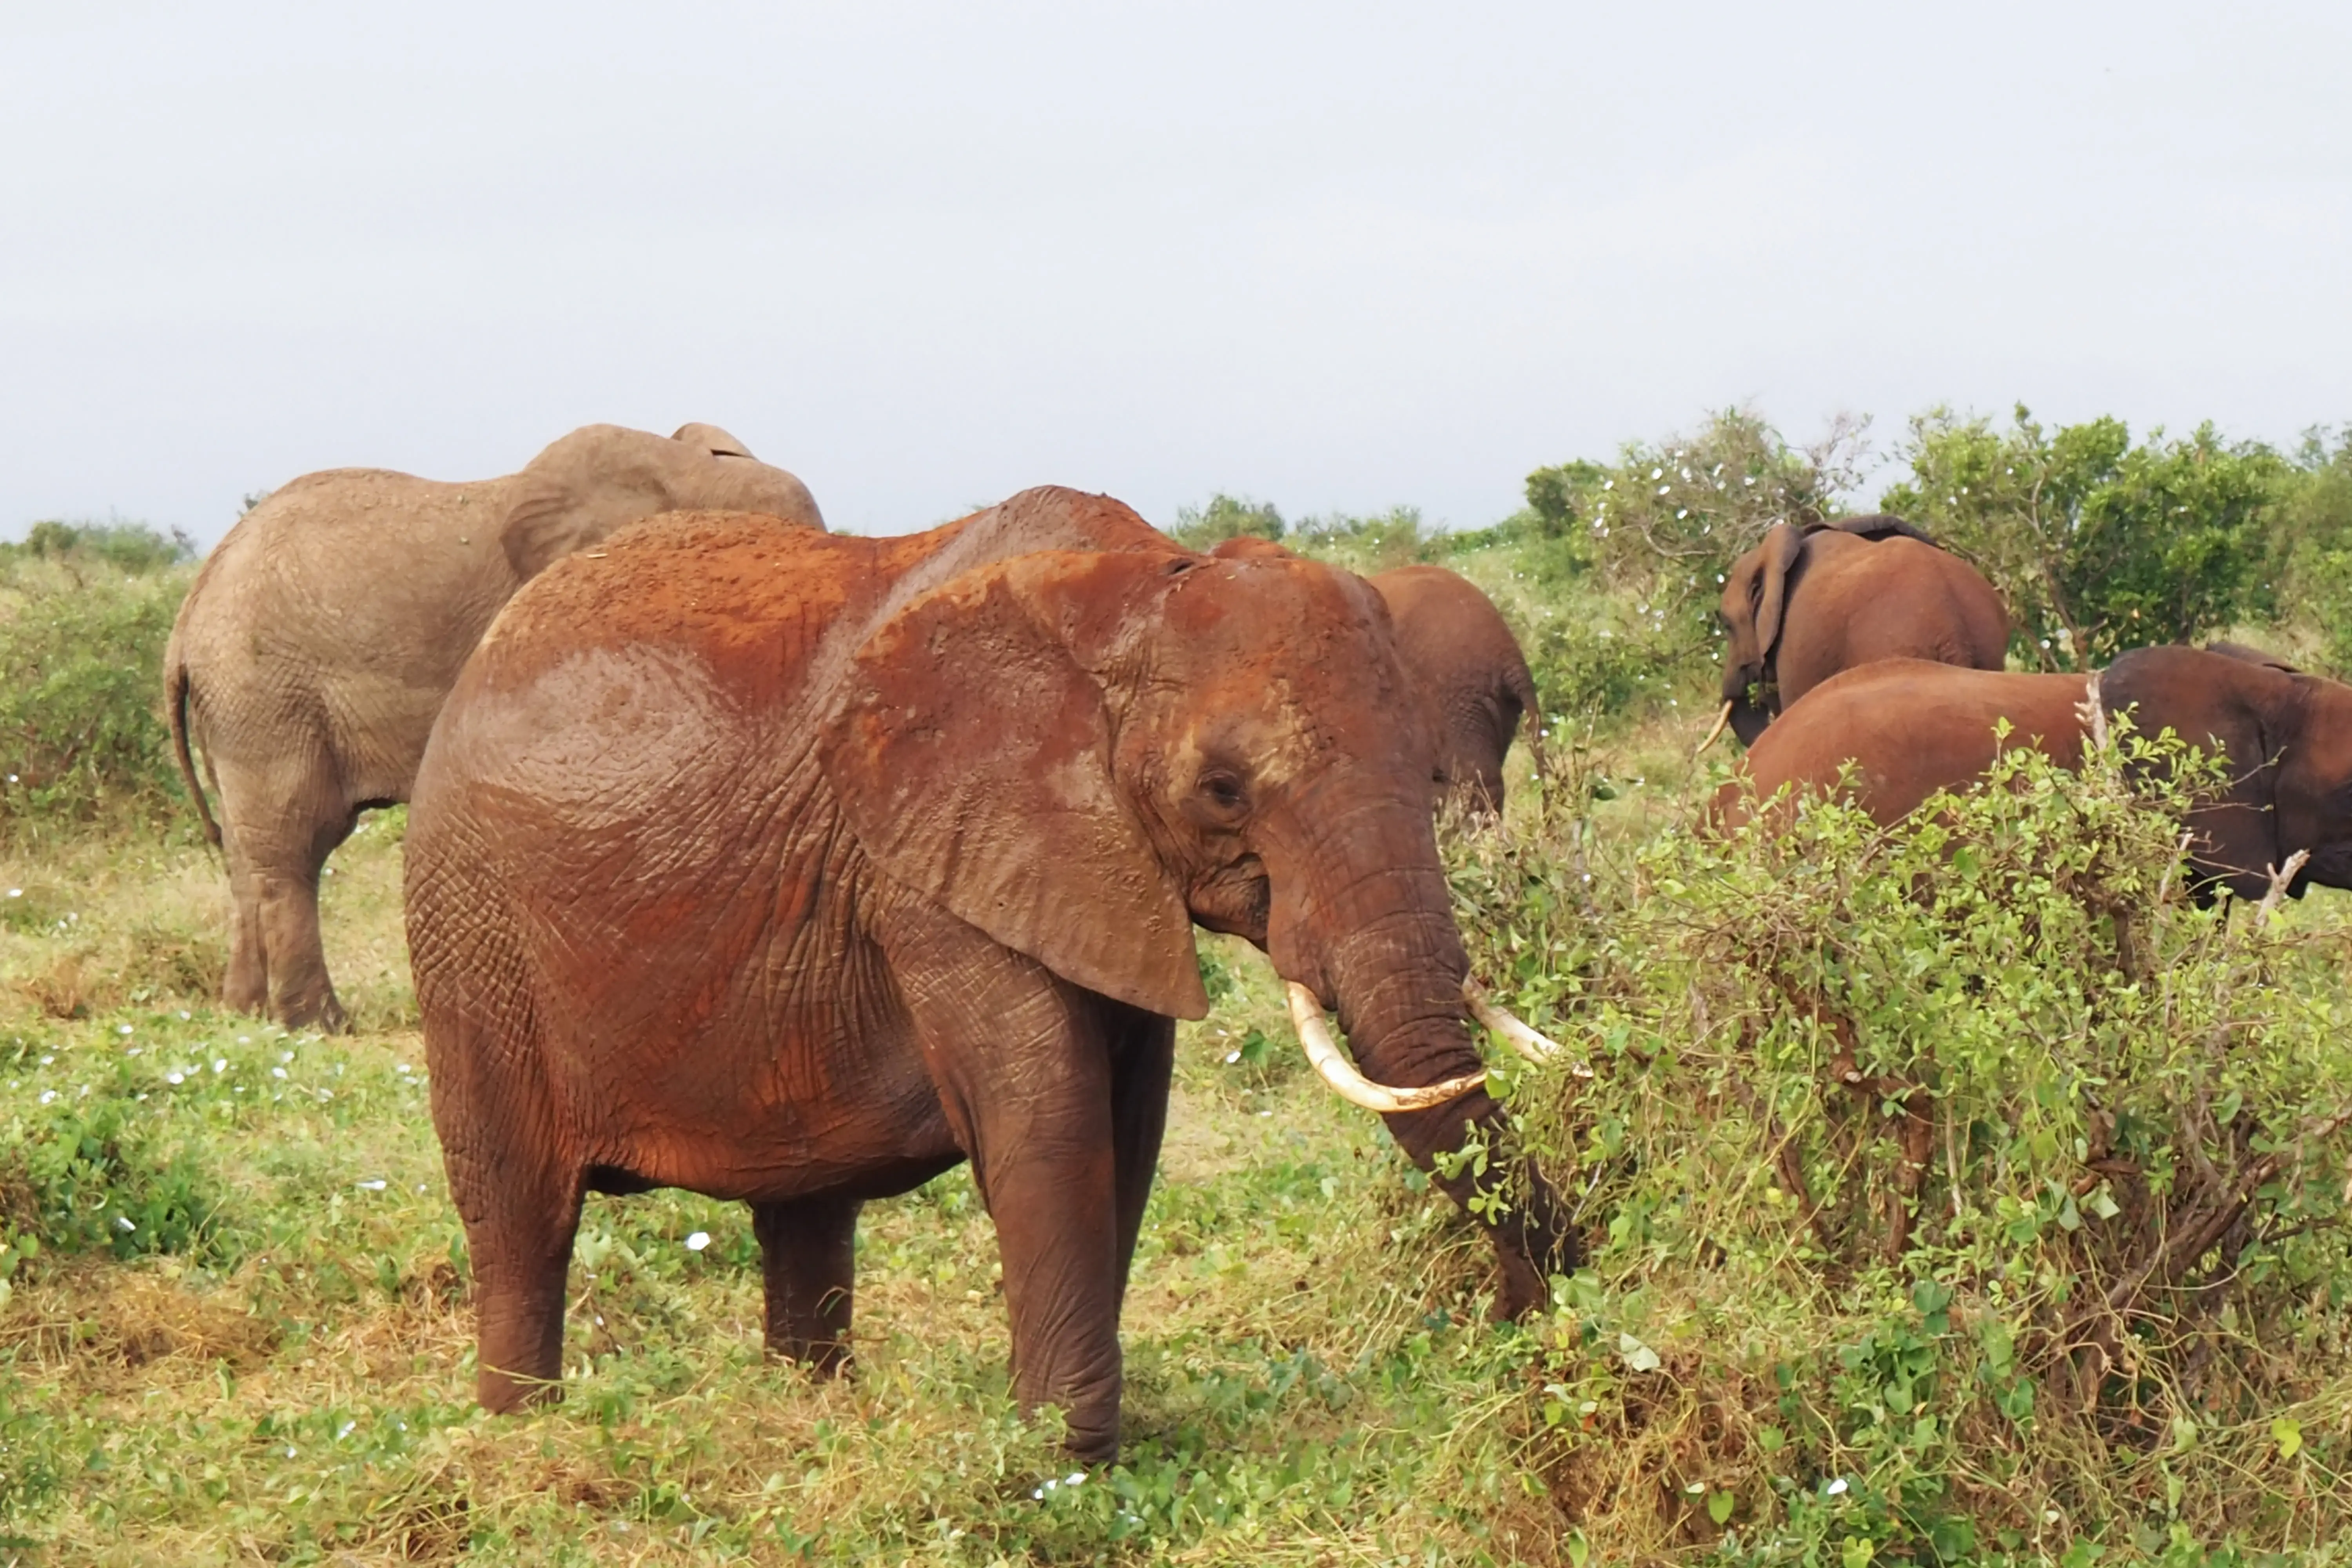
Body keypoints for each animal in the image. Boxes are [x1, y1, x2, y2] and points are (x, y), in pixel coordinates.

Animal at [166, 422, 823, 1032]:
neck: (688, 474)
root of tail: (190, 612)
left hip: (237, 704)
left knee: (248, 853)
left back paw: (247, 1015)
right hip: (264, 692)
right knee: (294, 845)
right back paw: (319, 1026)